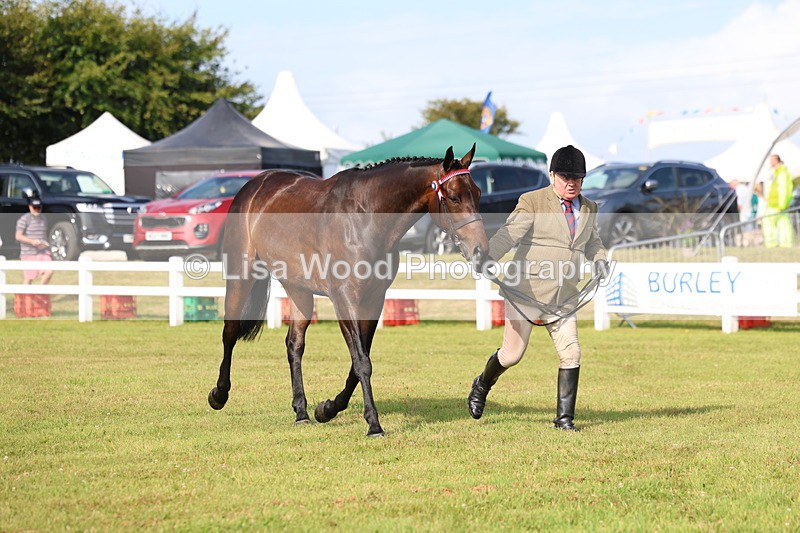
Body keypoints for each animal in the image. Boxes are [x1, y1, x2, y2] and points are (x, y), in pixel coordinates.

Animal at [207, 145, 489, 437]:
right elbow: (362, 361)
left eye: (478, 193)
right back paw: (219, 394)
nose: (480, 250)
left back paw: (301, 411)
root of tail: (253, 185)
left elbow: (358, 362)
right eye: (454, 197)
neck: (364, 219)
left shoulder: (374, 301)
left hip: (299, 290)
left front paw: (327, 409)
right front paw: (374, 424)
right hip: (241, 276)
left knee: (294, 345)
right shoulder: (344, 299)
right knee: (230, 333)